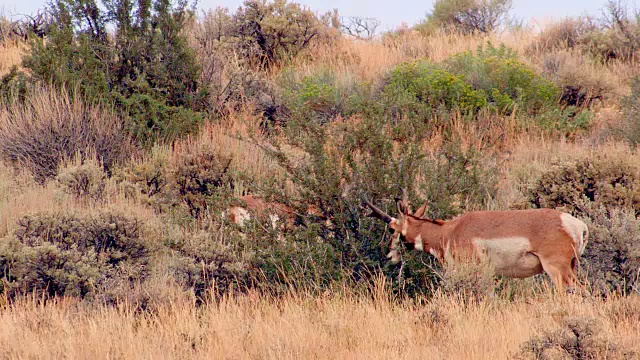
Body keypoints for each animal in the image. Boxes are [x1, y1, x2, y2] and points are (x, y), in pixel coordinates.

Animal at [364, 193, 592, 292]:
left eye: (392, 229)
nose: (389, 256)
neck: (449, 230)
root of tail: (577, 225)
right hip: (569, 268)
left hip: (557, 270)